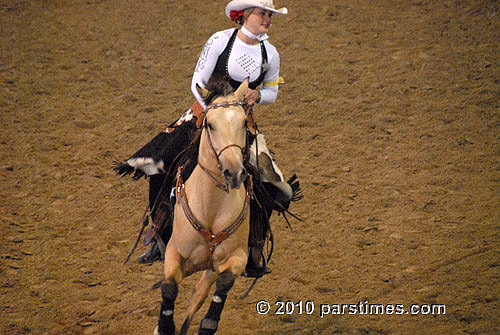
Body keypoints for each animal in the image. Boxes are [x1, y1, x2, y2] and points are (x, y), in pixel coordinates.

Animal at [154, 80, 252, 334]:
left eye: (243, 122)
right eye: (210, 124)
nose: (233, 173)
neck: (211, 208)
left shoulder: (237, 257)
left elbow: (224, 283)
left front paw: (209, 323)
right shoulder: (173, 252)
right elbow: (169, 287)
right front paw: (164, 326)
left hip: (209, 270)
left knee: (198, 295)